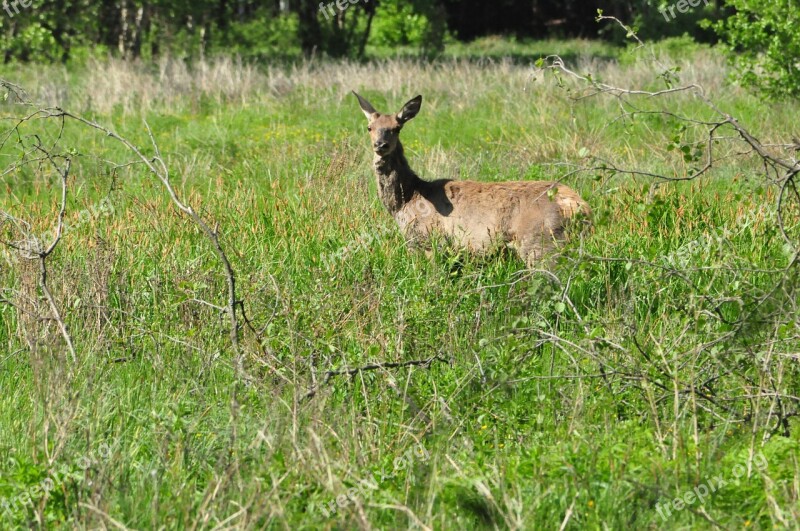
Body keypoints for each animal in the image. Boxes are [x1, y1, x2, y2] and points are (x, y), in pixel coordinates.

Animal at [354, 92, 592, 266]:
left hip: (541, 242)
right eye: (369, 128)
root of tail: (580, 208)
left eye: (396, 128)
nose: (380, 145)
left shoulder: (428, 240)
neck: (406, 199)